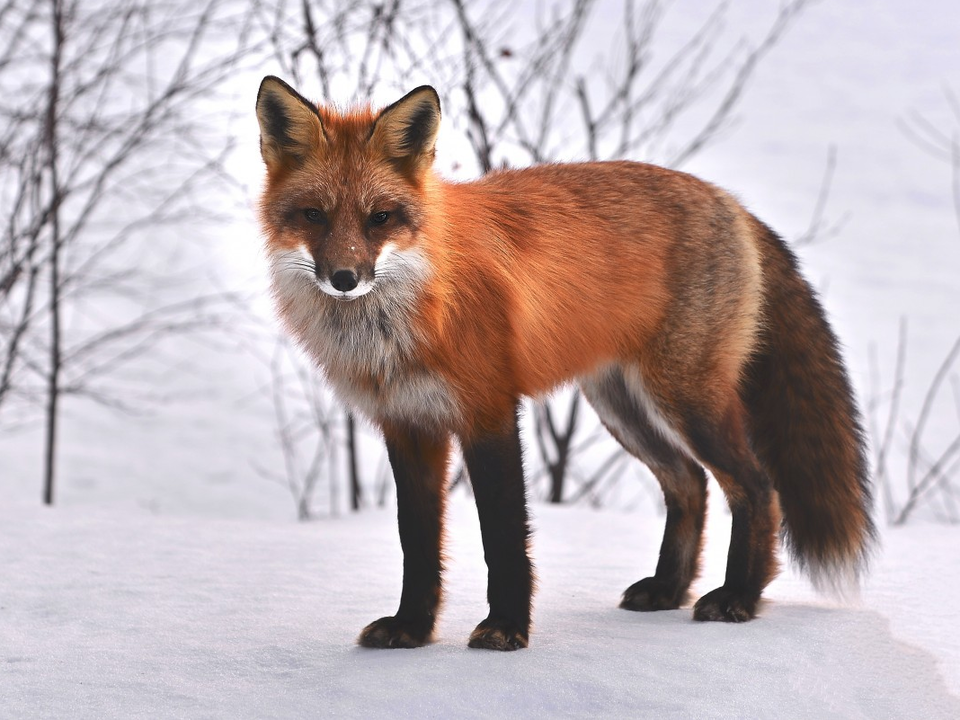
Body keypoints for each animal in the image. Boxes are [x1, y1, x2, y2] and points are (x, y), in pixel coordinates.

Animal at [255, 77, 876, 652]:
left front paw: (506, 628)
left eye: (380, 218)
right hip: (622, 406)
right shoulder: (408, 425)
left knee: (757, 486)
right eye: (313, 215)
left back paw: (739, 597)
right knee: (690, 483)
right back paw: (668, 590)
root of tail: (730, 202)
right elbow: (418, 543)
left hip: (686, 399)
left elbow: (503, 536)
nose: (344, 278)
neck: (409, 313)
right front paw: (412, 628)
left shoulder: (489, 411)